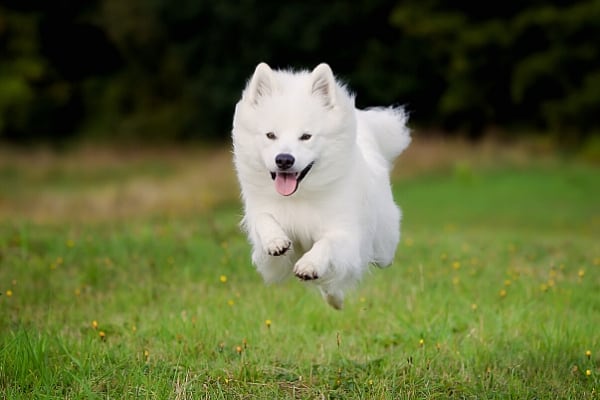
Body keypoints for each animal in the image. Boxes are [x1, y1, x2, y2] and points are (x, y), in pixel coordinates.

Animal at [232, 62, 410, 310]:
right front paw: (276, 240)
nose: (284, 159)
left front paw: (309, 264)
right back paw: (335, 300)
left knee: (375, 261)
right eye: (270, 135)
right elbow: (264, 219)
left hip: (383, 244)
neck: (299, 196)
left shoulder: (347, 236)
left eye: (306, 136)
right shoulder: (271, 263)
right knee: (330, 287)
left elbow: (328, 242)